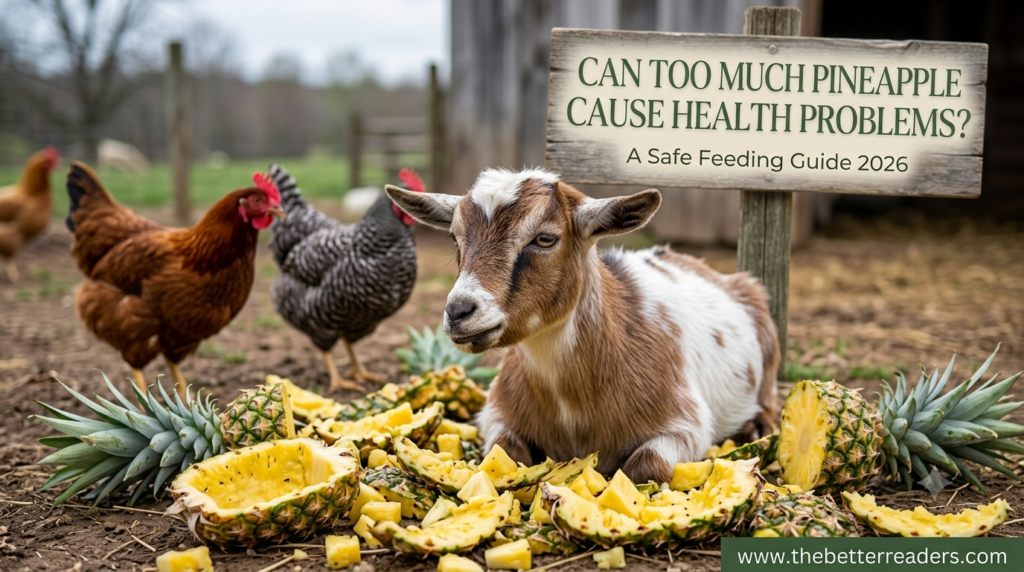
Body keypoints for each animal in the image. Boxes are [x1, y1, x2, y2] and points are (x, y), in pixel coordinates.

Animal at [387, 168, 779, 483]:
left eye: (545, 238)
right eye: (455, 238)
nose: (458, 311)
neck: (573, 405)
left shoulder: (687, 425)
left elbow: (643, 467)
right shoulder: (496, 415)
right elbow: (505, 454)